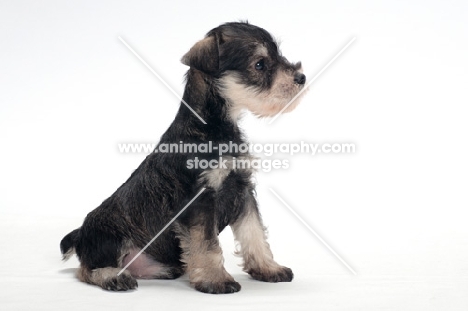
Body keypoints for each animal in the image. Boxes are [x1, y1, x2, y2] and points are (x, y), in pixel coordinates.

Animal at [61, 22, 308, 294]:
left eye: (278, 55)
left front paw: (269, 268)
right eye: (260, 64)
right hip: (109, 239)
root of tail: (79, 234)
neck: (213, 128)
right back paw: (113, 277)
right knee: (86, 269)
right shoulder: (198, 201)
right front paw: (215, 279)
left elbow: (254, 233)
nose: (301, 78)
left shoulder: (243, 191)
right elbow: (207, 244)